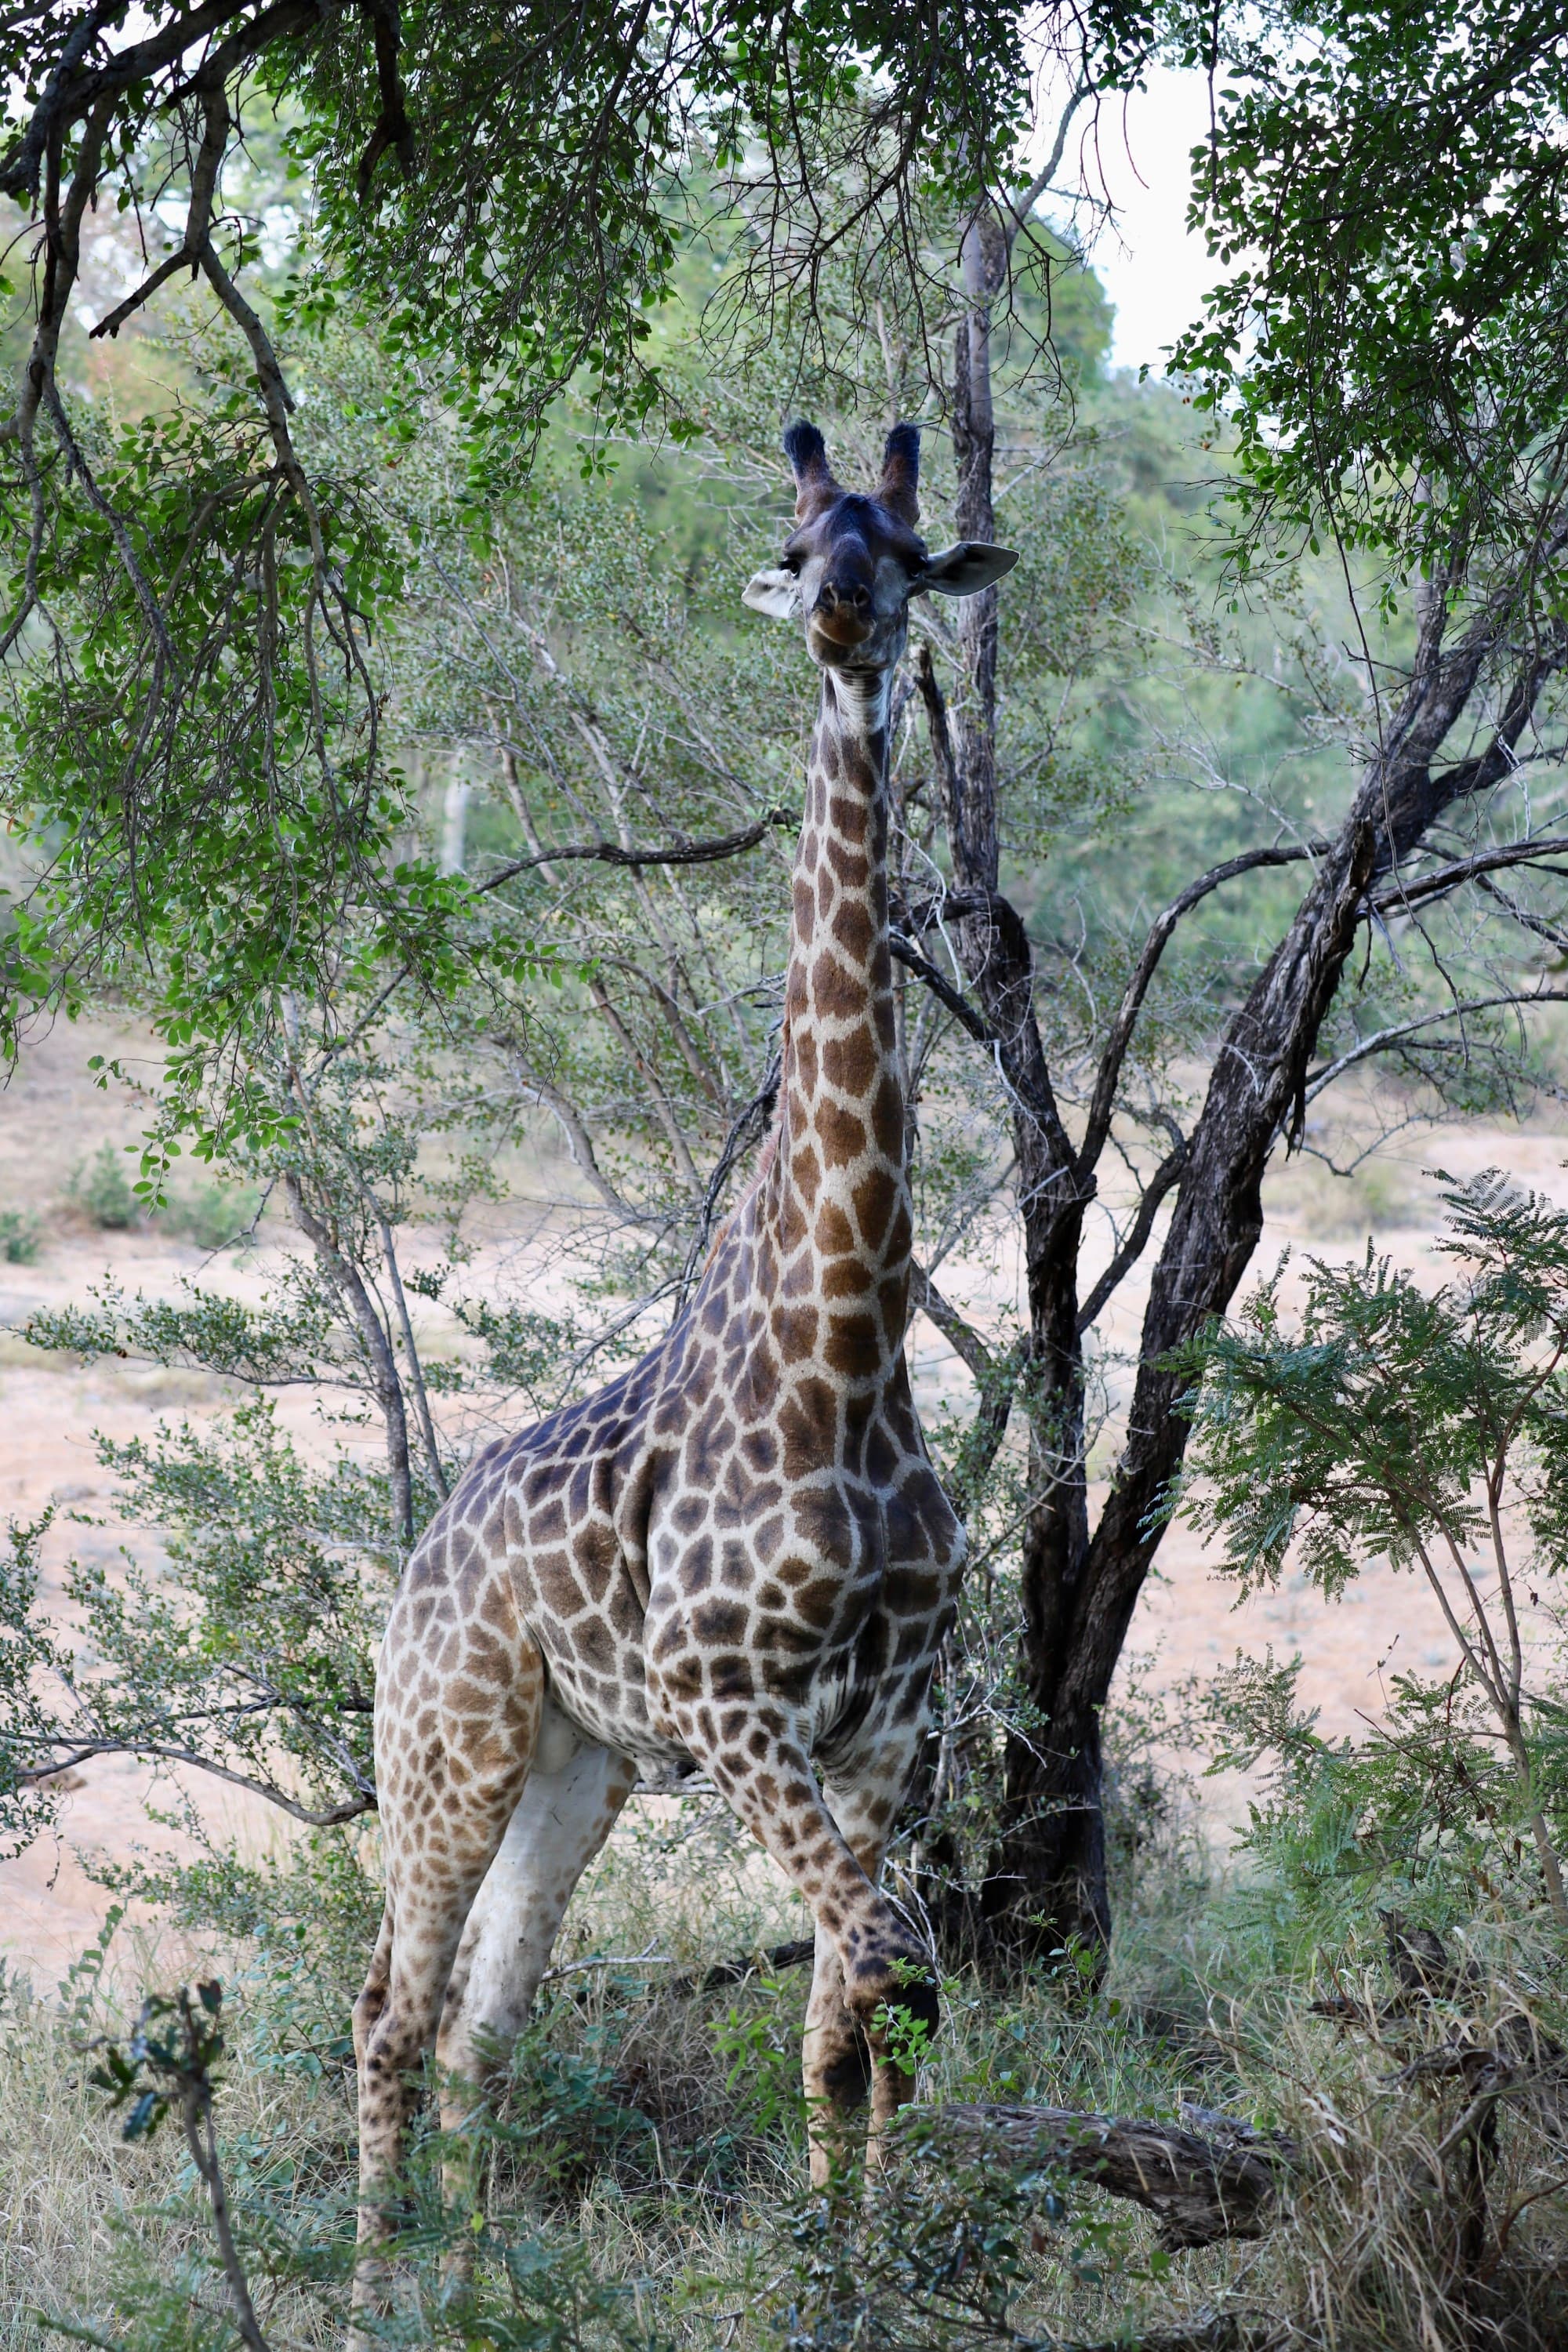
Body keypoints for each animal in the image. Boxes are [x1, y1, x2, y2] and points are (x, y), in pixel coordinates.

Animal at [350, 419, 1025, 2314]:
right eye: (799, 548)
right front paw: (843, 2260)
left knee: (483, 2023)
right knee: (388, 2008)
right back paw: (370, 2290)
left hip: (573, 1771)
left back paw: (482, 2284)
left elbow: (859, 2012)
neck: (848, 1342)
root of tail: (416, 1562)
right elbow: (884, 1972)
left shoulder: (884, 1729)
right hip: (448, 1745)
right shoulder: (735, 1711)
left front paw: (861, 2266)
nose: (851, 616)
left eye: (904, 545)